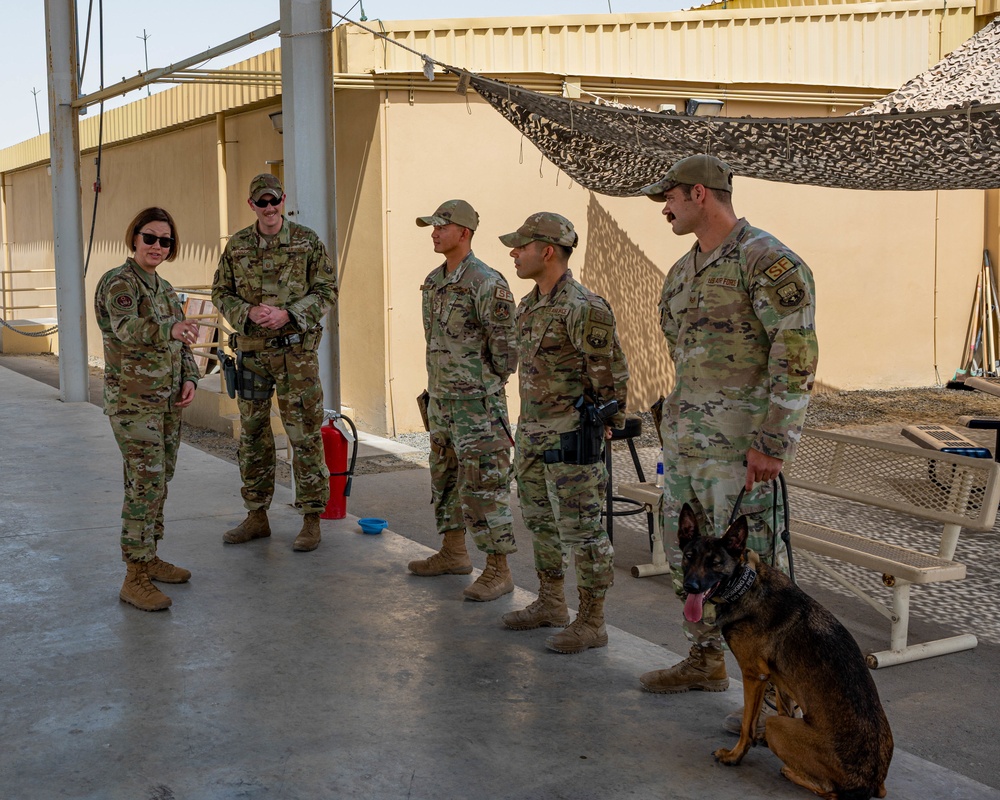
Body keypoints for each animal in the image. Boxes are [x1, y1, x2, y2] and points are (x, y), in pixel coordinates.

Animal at [676, 506, 896, 800]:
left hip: (777, 728)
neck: (745, 585)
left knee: (830, 791)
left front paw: (735, 756)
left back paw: (789, 770)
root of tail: (870, 782)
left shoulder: (753, 675)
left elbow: (747, 725)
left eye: (715, 563)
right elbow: (783, 707)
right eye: (689, 556)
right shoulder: (779, 682)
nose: (691, 586)